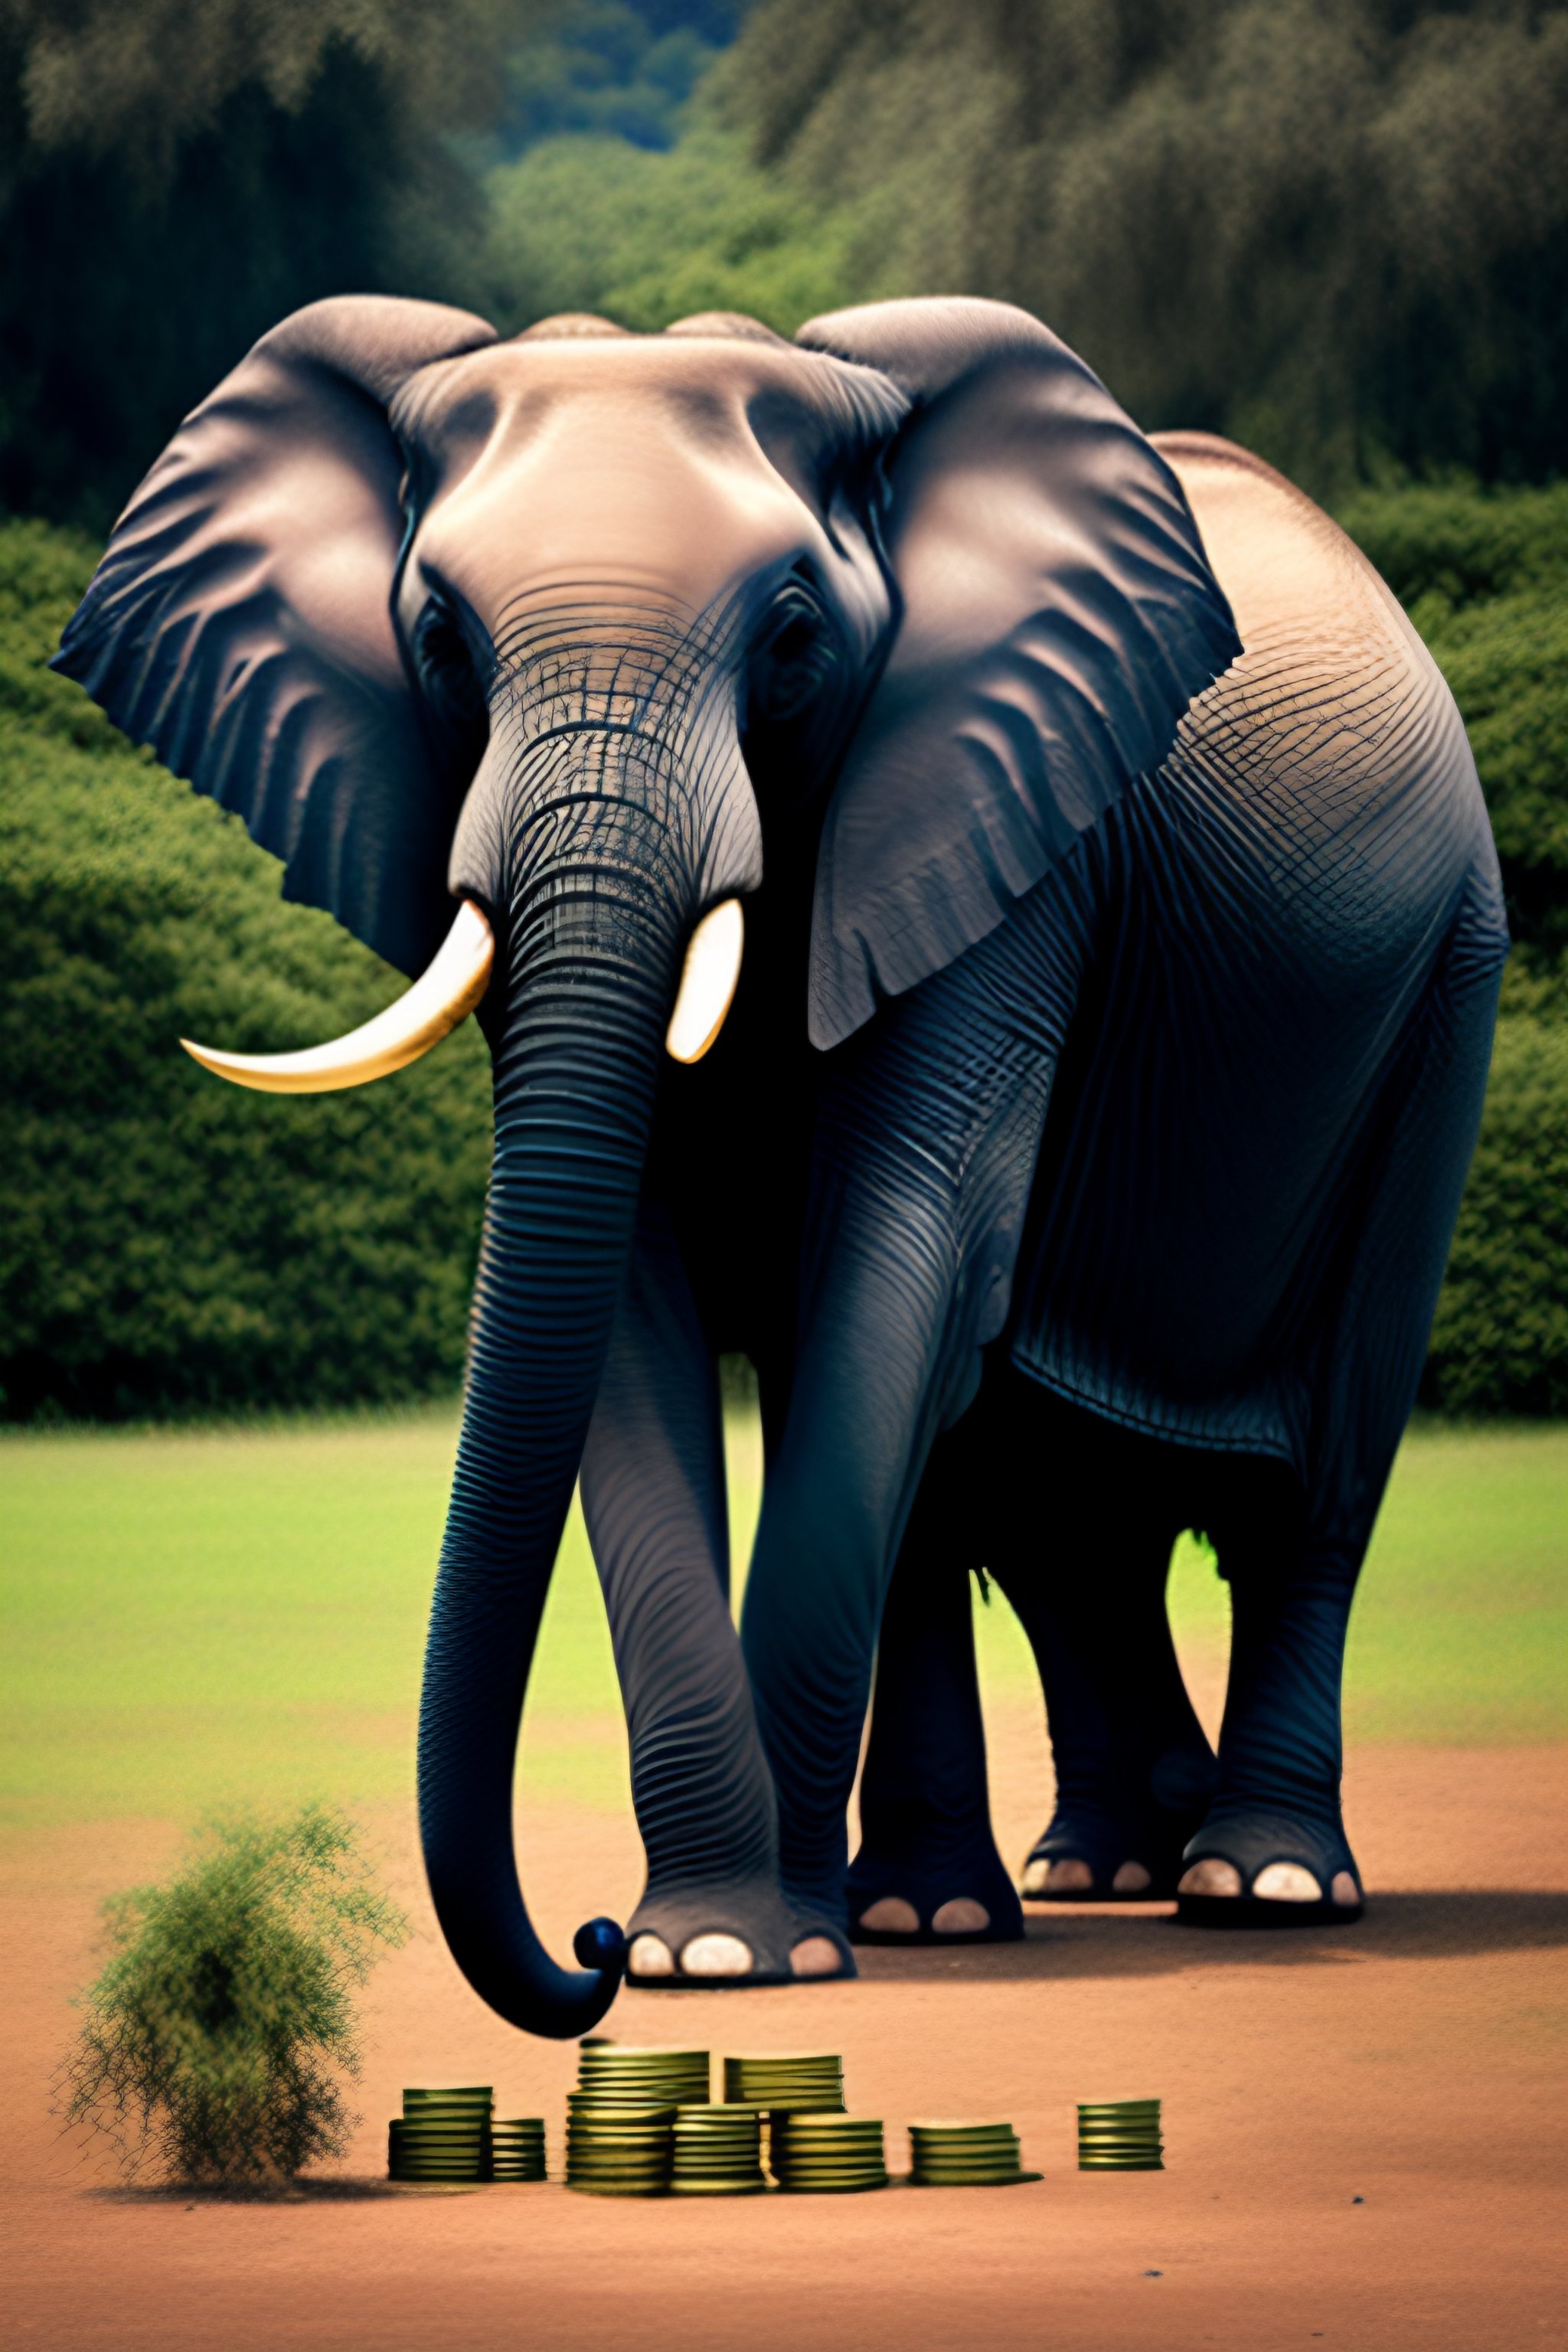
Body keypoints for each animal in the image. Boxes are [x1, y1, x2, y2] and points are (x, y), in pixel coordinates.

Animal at [54, 293, 1505, 2039]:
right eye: (442, 643)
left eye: (794, 636)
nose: (581, 1958)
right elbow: (638, 1296)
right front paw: (724, 1947)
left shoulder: (1013, 840)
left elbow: (896, 1255)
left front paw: (739, 1952)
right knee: (1037, 1496)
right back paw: (1044, 1883)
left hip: (1444, 994)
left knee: (1313, 1472)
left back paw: (1253, 1883)